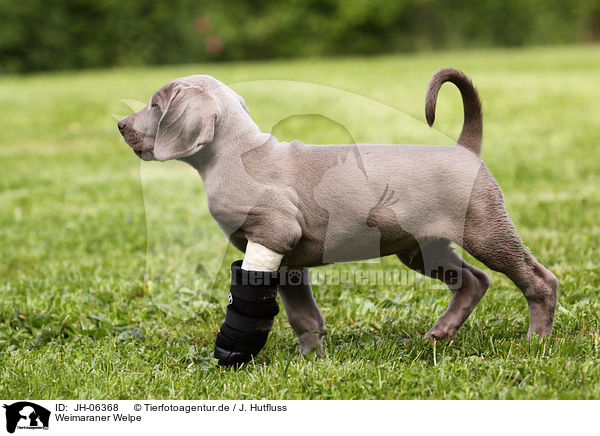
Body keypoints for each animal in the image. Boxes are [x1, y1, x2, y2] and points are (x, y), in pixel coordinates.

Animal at [117, 68, 556, 358]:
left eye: (156, 105)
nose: (120, 124)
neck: (236, 156)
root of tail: (465, 149)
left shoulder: (274, 232)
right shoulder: (289, 260)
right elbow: (303, 316)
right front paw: (310, 361)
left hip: (483, 227)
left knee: (539, 279)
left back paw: (536, 340)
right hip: (419, 247)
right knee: (474, 280)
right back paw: (442, 333)